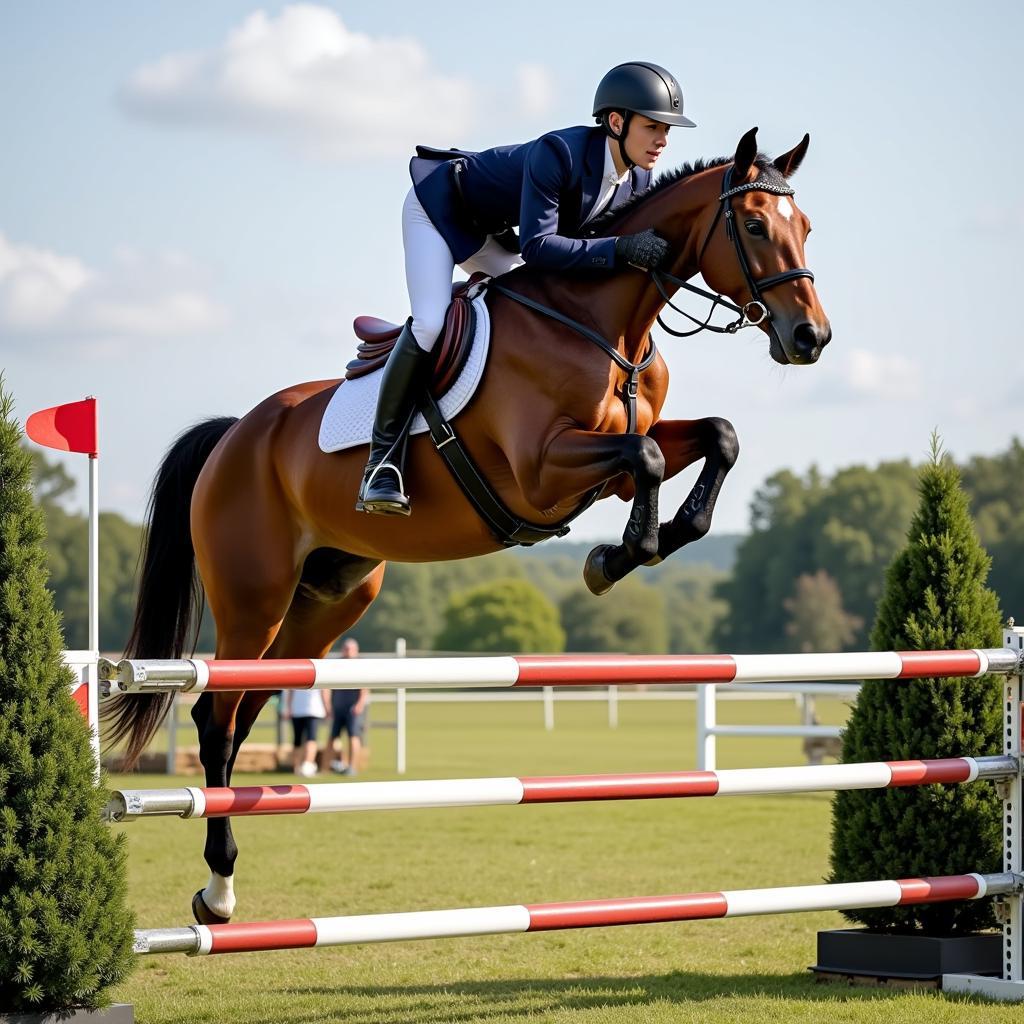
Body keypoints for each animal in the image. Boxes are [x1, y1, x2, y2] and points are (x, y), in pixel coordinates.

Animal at [101, 123, 831, 925]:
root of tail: (235, 435)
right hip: (251, 597)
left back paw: (222, 884)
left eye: (805, 226)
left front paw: (643, 546)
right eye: (756, 225)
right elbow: (642, 457)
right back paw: (218, 889)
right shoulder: (543, 472)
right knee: (215, 718)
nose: (810, 337)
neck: (607, 323)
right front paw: (617, 557)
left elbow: (714, 438)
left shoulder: (613, 459)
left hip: (325, 604)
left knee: (247, 712)